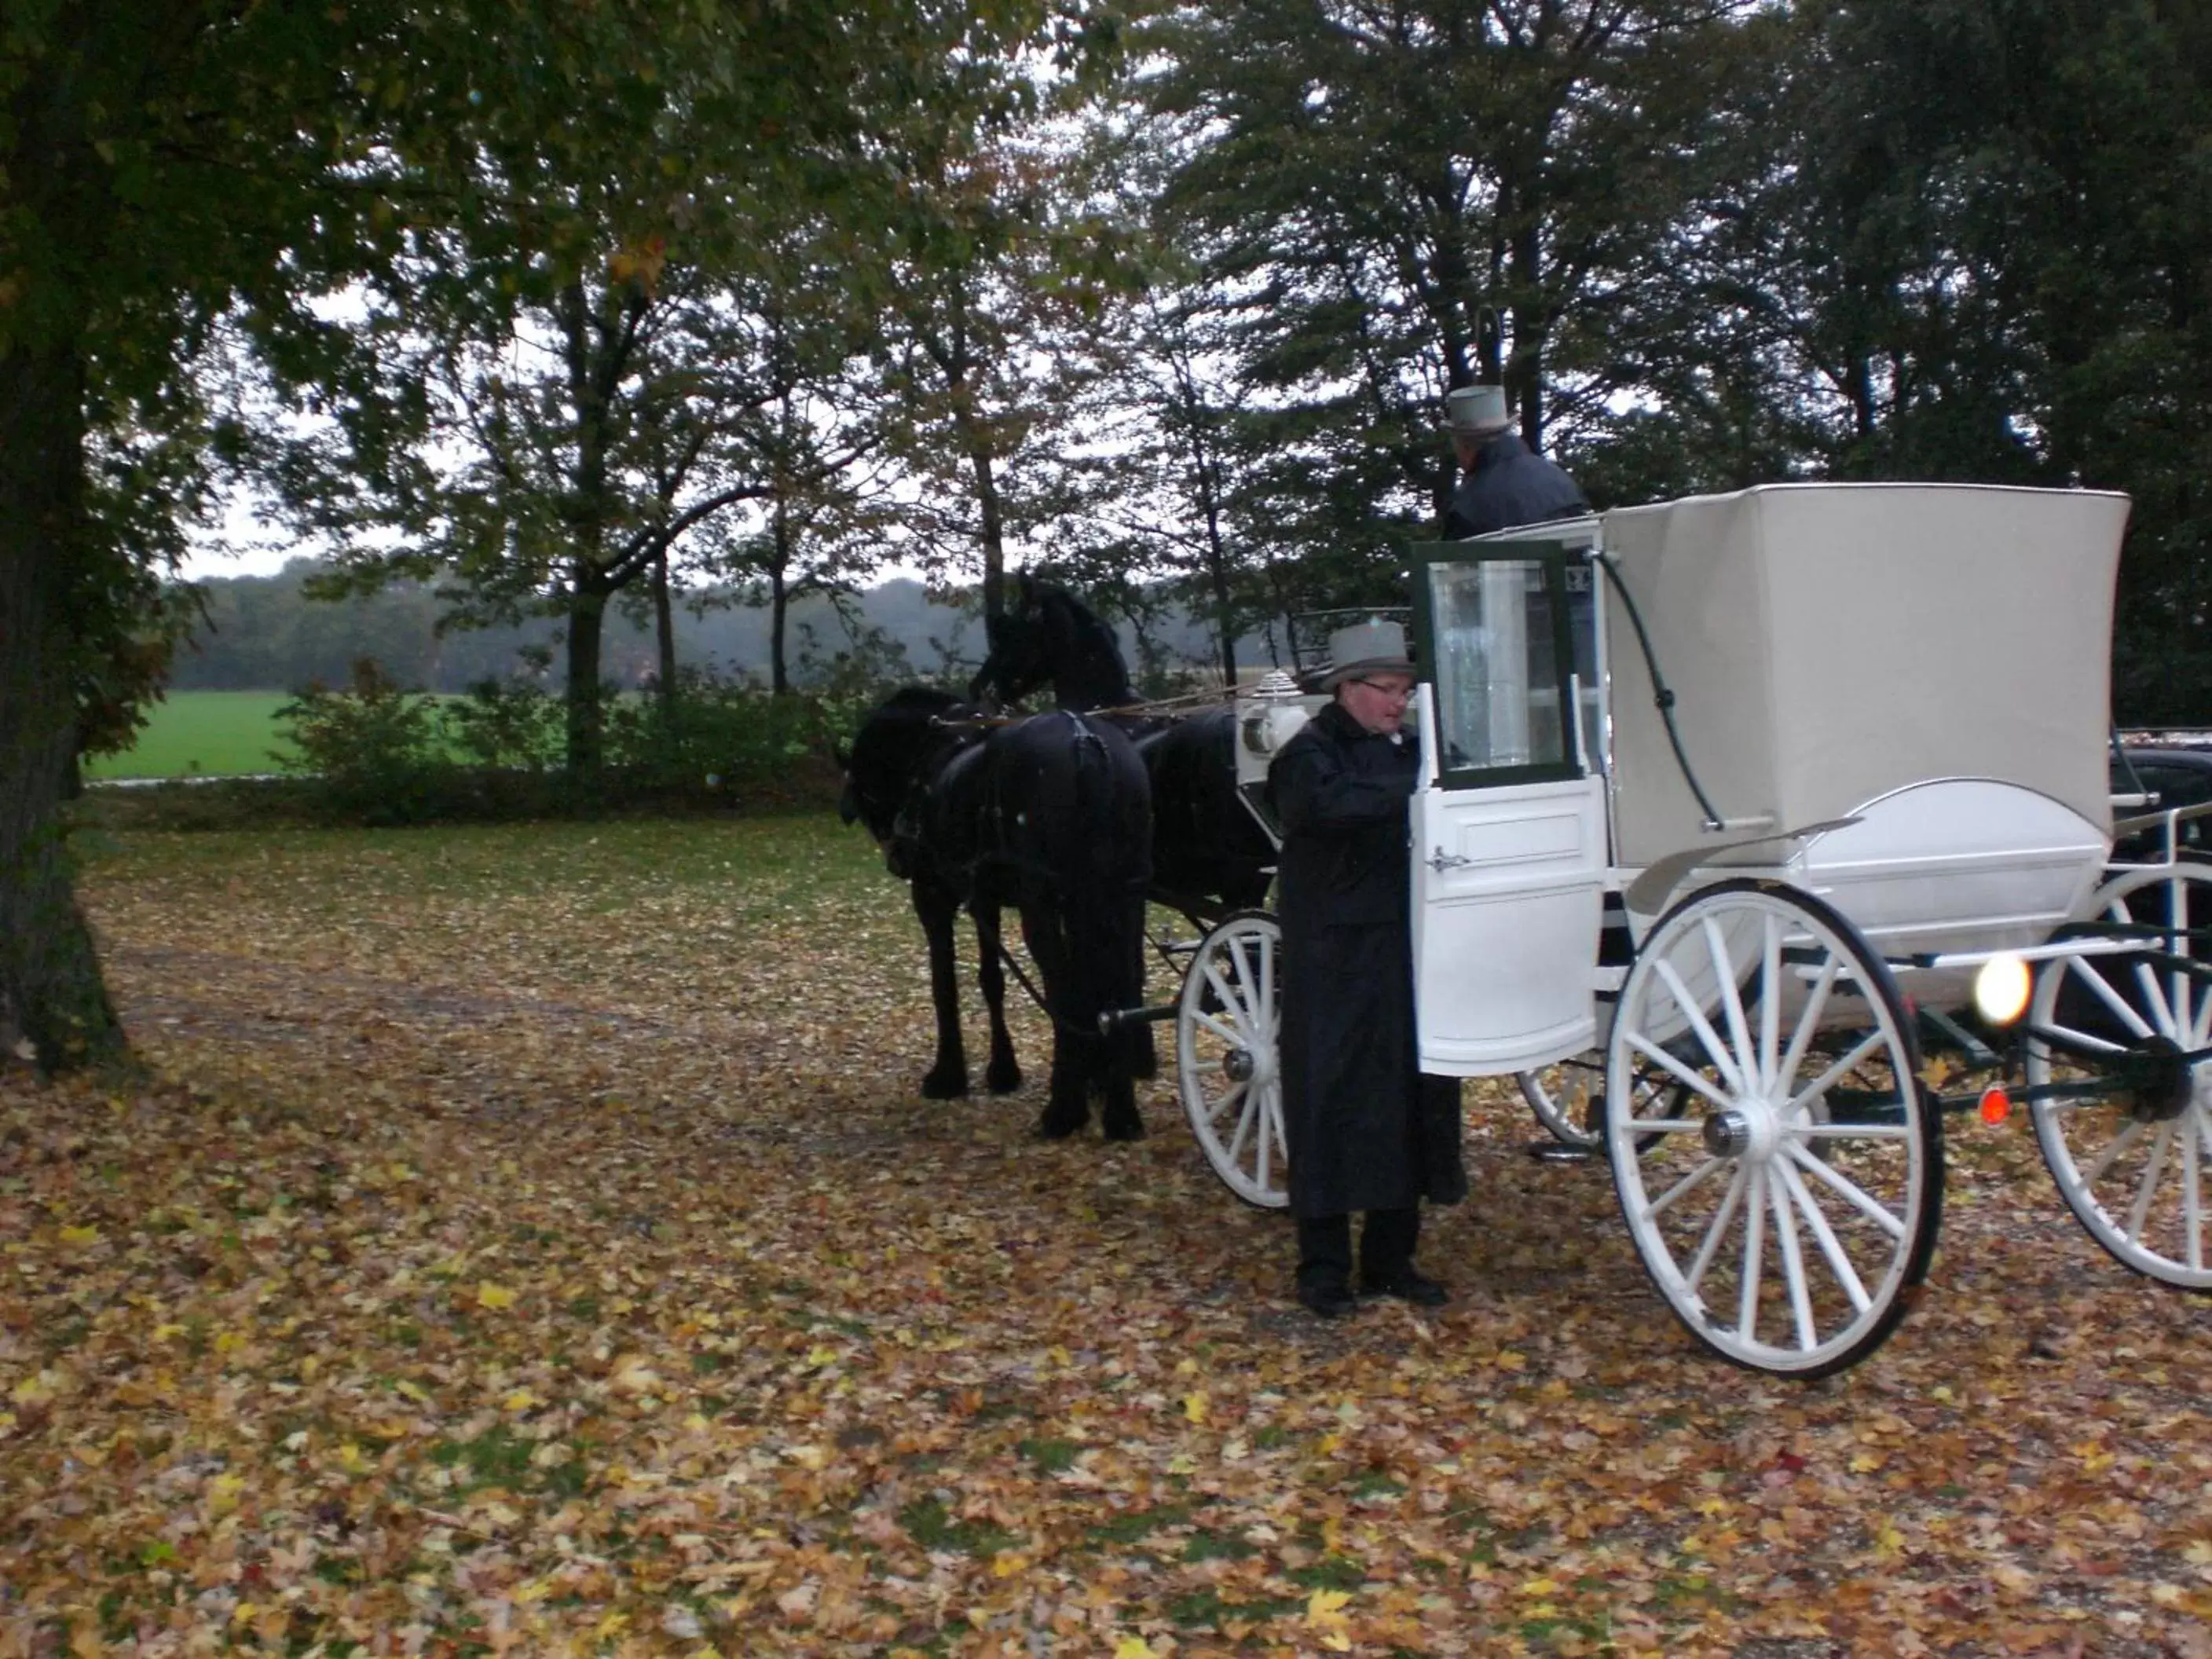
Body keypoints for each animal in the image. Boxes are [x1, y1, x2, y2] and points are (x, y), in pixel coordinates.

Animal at [836, 690, 1159, 1141]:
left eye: (865, 790)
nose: (898, 856)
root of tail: (1084, 740)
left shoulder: (933, 897)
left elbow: (944, 986)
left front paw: (948, 1075)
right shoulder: (985, 900)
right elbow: (992, 981)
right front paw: (1006, 1069)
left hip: (1044, 905)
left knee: (1066, 991)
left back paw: (1064, 1110)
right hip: (1120, 897)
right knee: (1121, 985)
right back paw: (1122, 1113)